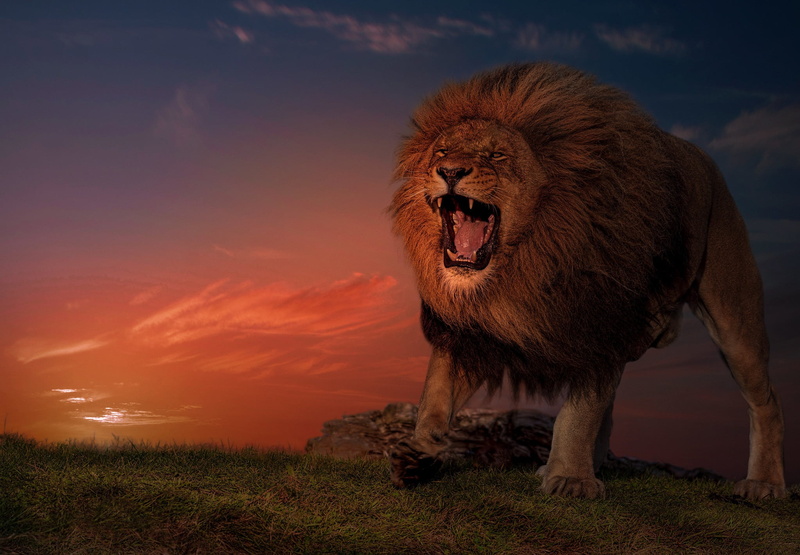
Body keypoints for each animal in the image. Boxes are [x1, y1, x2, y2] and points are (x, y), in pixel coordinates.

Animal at [389, 62, 786, 500]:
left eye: (497, 155)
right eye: (442, 152)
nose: (450, 171)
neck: (522, 264)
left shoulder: (596, 317)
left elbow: (581, 411)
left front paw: (570, 478)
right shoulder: (469, 327)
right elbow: (436, 398)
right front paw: (420, 453)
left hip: (734, 316)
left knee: (766, 401)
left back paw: (764, 485)